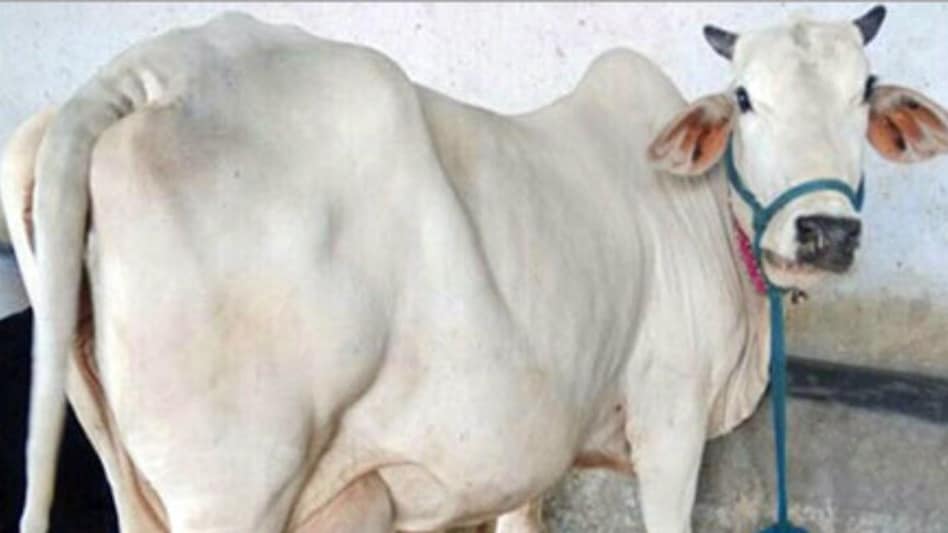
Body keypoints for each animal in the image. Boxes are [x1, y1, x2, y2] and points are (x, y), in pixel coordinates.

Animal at [4, 5, 947, 533]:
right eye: (746, 98)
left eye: (864, 92)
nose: (824, 232)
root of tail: (146, 74)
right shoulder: (670, 416)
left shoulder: (542, 437)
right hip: (233, 487)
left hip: (135, 480)